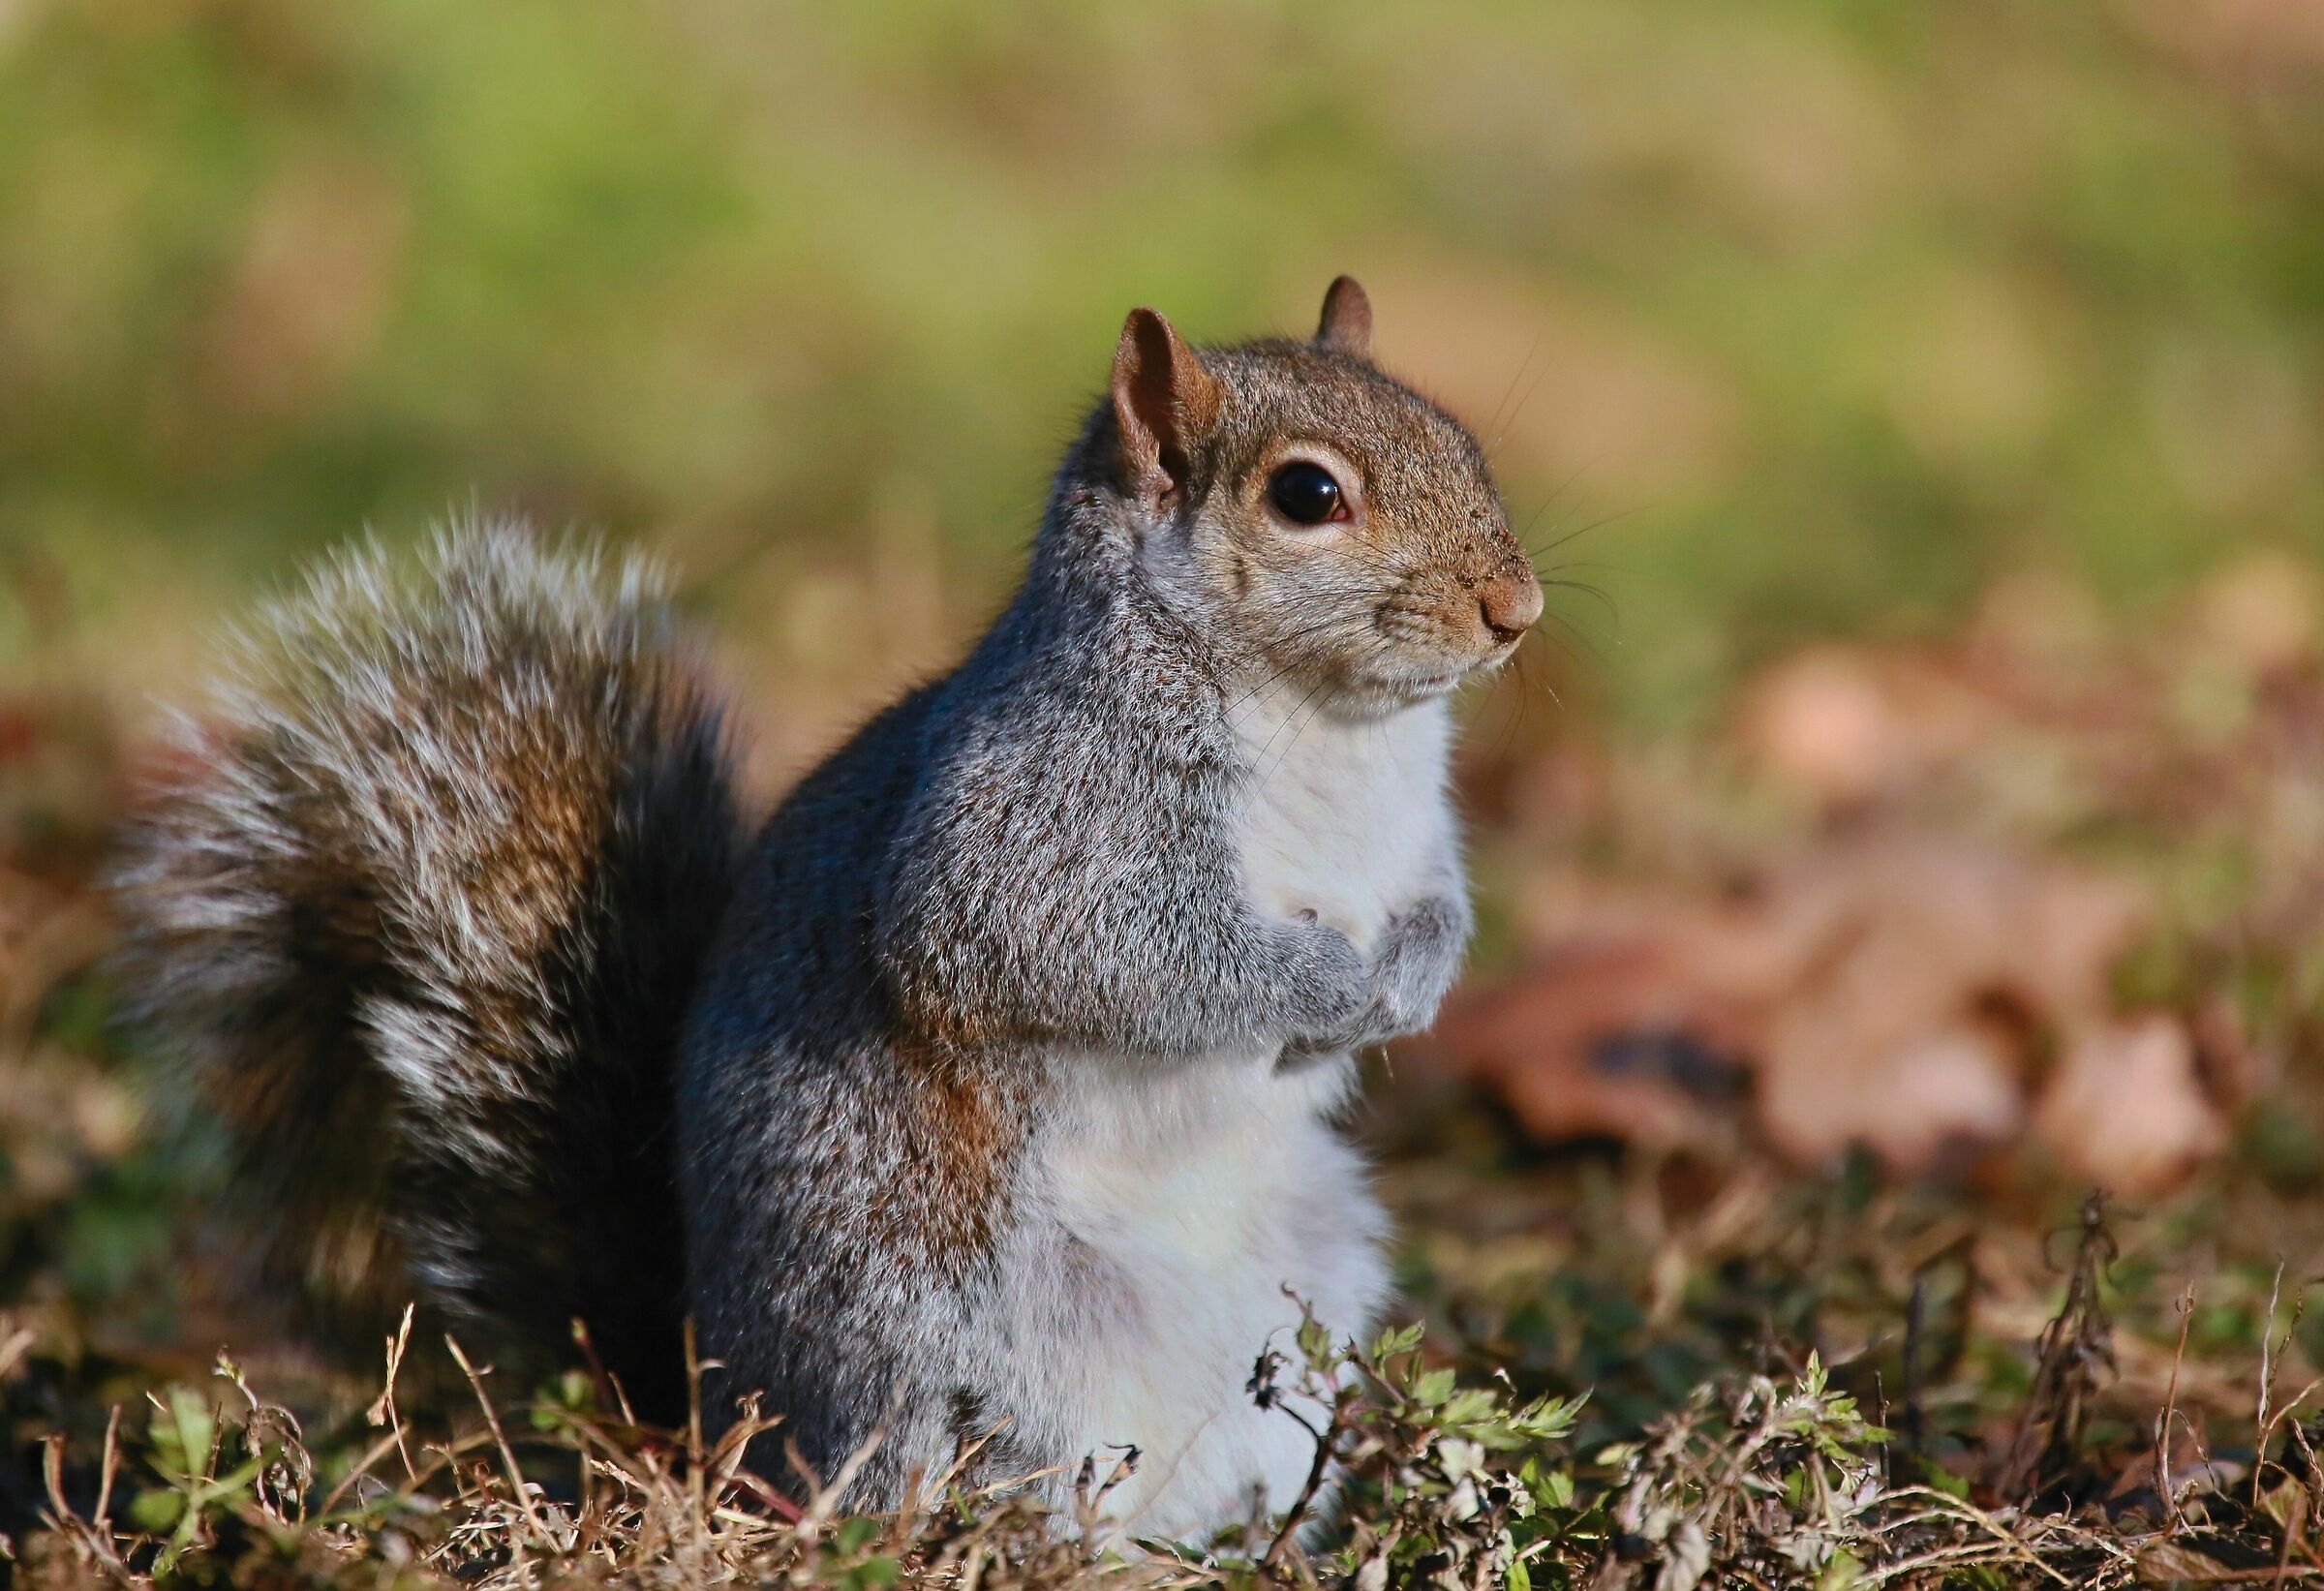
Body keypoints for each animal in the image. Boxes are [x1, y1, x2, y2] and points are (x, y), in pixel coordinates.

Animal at [111, 277, 1543, 1540]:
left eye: (1463, 438)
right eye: (1308, 494)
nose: (1516, 608)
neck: (1333, 728)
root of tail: (711, 1404)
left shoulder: (1417, 835)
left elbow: (1441, 905)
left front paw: (1413, 973)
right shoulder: (1040, 824)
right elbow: (1097, 953)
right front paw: (1328, 987)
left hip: (1302, 1290)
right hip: (964, 1339)